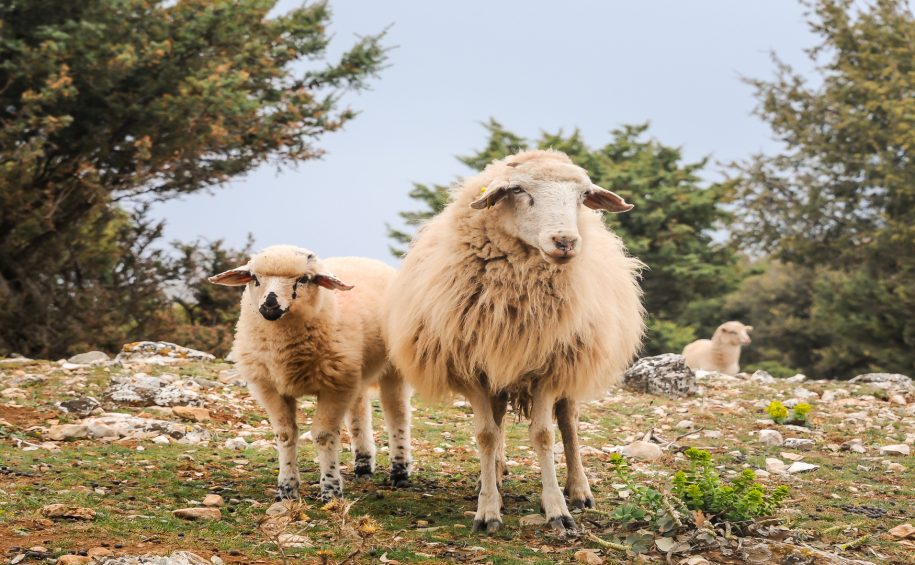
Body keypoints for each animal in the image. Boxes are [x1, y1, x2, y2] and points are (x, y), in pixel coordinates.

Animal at [210, 245, 412, 501]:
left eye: (304, 279)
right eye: (254, 278)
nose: (270, 305)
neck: (283, 352)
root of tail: (369, 261)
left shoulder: (333, 387)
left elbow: (323, 436)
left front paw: (331, 490)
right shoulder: (270, 387)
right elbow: (285, 434)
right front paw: (286, 489)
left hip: (392, 368)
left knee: (397, 415)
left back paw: (400, 472)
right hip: (353, 370)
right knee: (358, 413)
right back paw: (363, 465)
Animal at [384, 150, 645, 533]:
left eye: (583, 196)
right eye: (519, 190)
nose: (565, 242)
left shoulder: (549, 368)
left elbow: (544, 435)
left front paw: (557, 510)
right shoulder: (473, 368)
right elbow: (486, 435)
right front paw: (488, 509)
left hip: (573, 362)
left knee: (569, 423)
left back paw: (578, 489)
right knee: (499, 419)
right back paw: (493, 476)